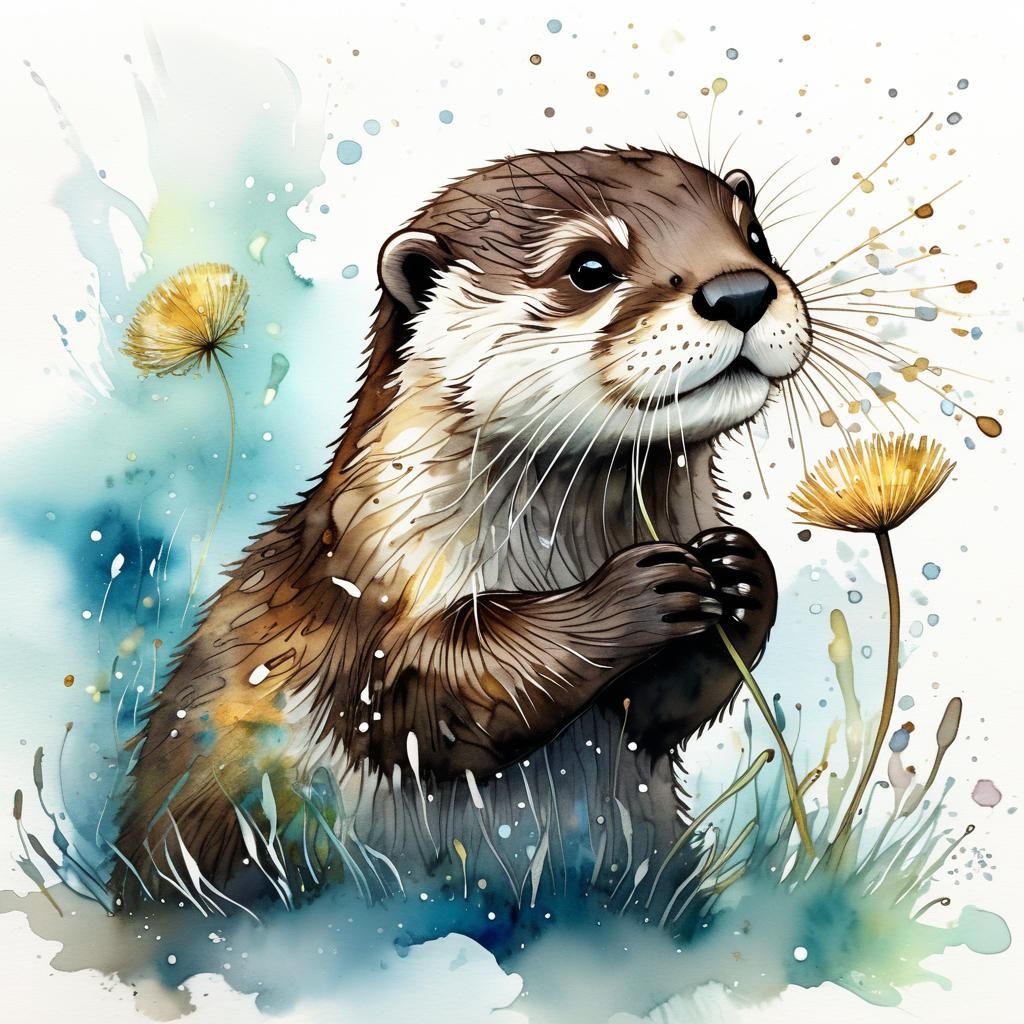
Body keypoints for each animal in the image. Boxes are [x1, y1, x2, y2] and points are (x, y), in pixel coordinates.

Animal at [114, 148, 810, 914]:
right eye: (588, 267)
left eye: (755, 237)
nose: (740, 291)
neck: (563, 551)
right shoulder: (367, 577)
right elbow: (431, 694)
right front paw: (628, 596)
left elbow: (654, 712)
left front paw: (743, 575)